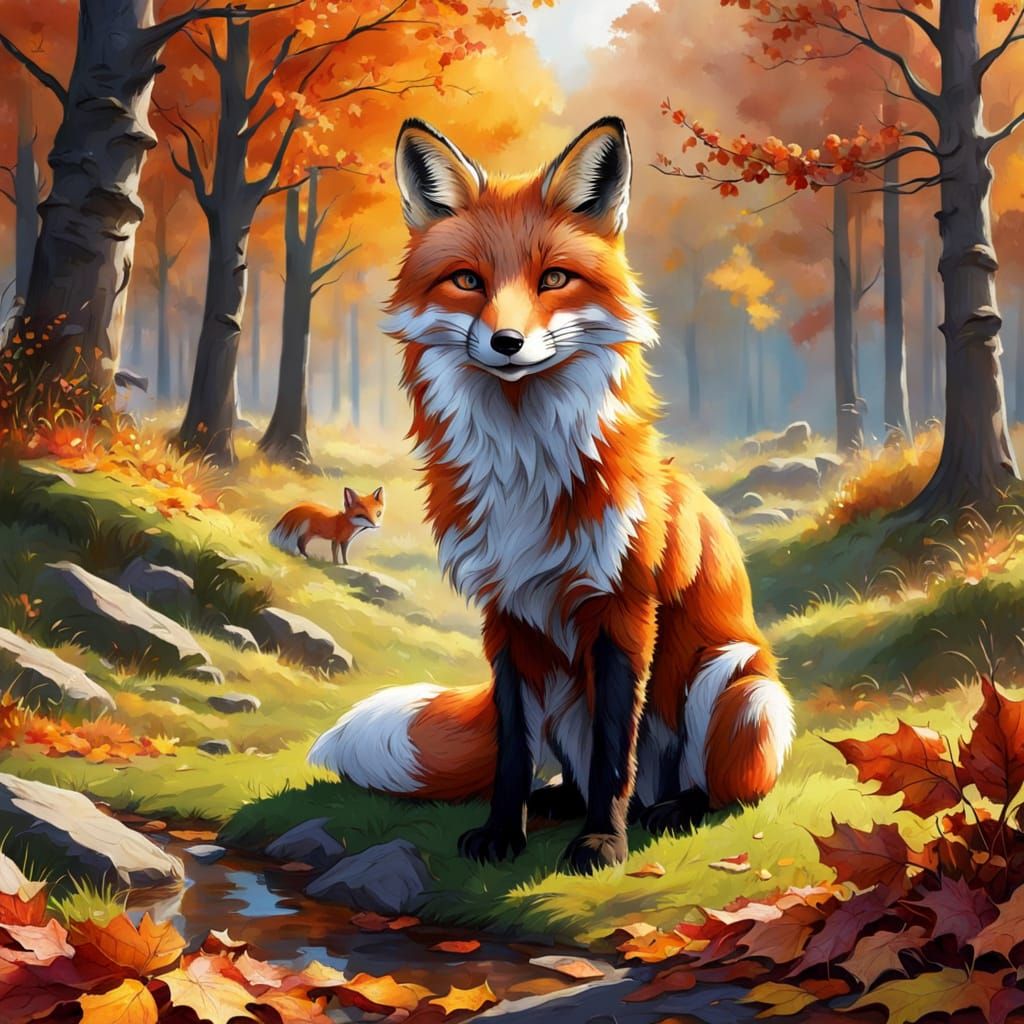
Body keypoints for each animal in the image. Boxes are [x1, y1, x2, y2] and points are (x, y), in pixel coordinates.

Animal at [308, 116, 794, 874]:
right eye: (467, 281)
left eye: (555, 279)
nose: (507, 341)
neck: (524, 473)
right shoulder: (506, 618)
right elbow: (514, 751)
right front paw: (503, 831)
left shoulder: (624, 610)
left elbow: (616, 752)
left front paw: (603, 844)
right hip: (568, 686)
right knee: (569, 769)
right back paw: (558, 804)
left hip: (734, 680)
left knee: (707, 785)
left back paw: (668, 810)